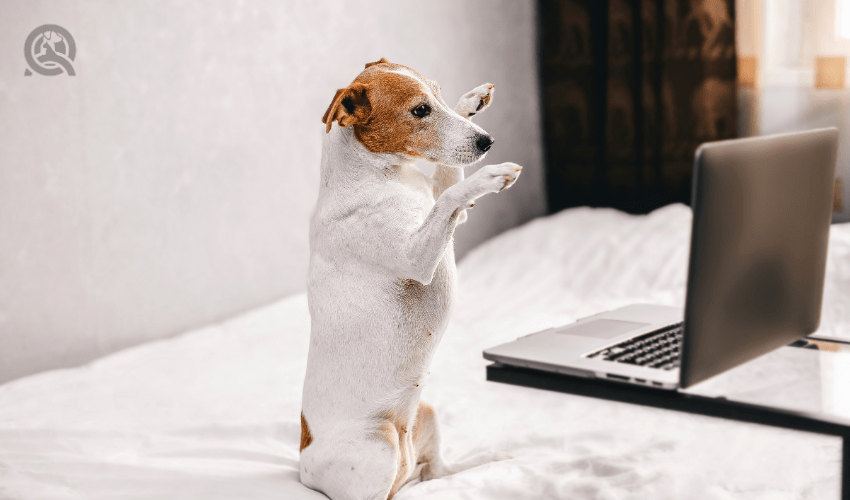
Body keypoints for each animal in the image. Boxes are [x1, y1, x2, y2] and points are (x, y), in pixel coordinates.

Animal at [302, 59, 520, 500]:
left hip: (426, 411)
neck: (383, 175)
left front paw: (471, 101)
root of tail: (300, 467)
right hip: (379, 446)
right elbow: (450, 196)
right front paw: (490, 176)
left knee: (436, 470)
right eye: (420, 110)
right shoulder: (417, 258)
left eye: (438, 94)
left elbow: (448, 187)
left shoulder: (452, 217)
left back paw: (488, 458)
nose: (487, 141)